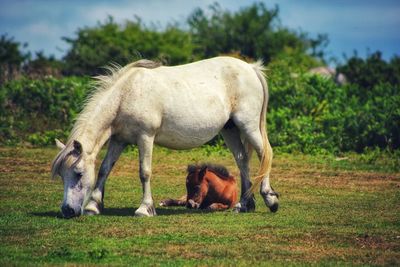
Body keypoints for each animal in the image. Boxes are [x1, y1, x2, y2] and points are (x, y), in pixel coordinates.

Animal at [50, 56, 278, 218]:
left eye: (78, 173)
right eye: (61, 175)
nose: (67, 211)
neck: (126, 94)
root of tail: (251, 68)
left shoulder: (145, 137)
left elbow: (144, 172)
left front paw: (145, 209)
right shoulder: (119, 140)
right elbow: (105, 169)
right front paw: (94, 205)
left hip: (248, 126)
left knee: (264, 154)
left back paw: (270, 199)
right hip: (230, 129)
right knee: (242, 160)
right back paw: (244, 204)